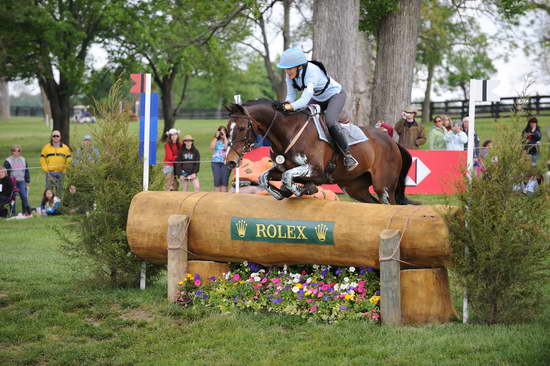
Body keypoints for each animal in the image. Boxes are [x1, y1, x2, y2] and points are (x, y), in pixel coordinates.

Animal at [224, 98, 414, 204]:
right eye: (227, 129)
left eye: (242, 128)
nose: (230, 161)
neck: (288, 132)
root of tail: (393, 143)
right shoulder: (281, 169)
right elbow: (264, 178)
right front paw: (286, 191)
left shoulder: (315, 169)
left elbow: (288, 177)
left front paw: (302, 190)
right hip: (354, 187)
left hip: (384, 187)